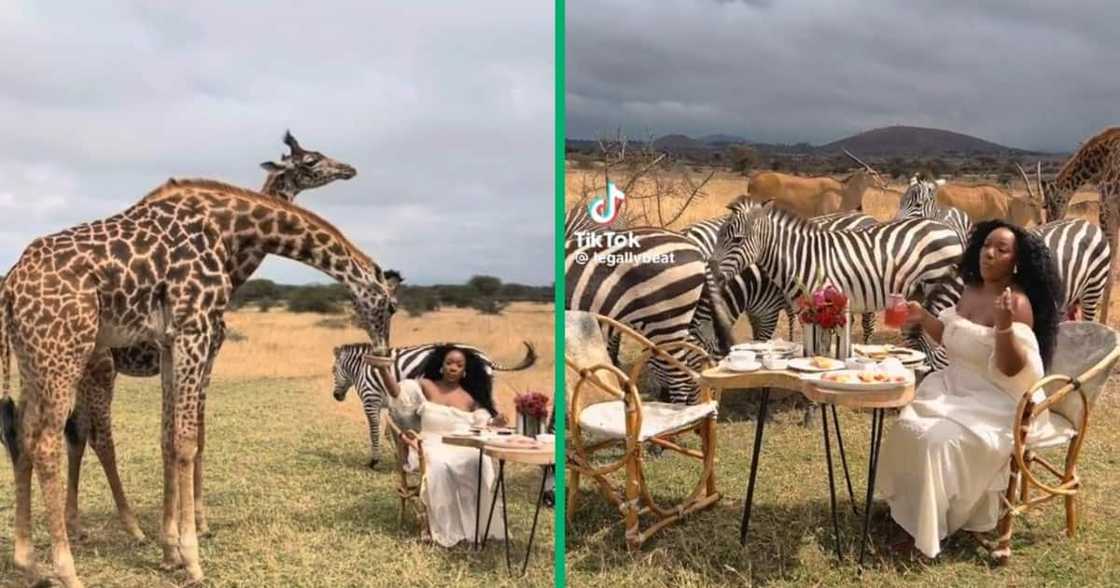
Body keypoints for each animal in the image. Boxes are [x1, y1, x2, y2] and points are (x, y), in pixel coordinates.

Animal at [0, 180, 396, 586]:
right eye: (391, 306)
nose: (383, 353)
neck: (229, 227)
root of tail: (9, 288)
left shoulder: (169, 342)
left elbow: (170, 438)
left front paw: (171, 551)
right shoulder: (195, 331)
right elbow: (189, 441)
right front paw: (191, 557)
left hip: (36, 362)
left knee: (24, 436)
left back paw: (29, 561)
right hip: (70, 356)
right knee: (53, 443)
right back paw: (70, 567)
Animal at [65, 130, 353, 544]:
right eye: (311, 160)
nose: (348, 169)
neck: (233, 272)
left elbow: (177, 436)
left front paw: (182, 522)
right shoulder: (207, 355)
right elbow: (197, 436)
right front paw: (197, 523)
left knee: (74, 431)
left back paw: (75, 524)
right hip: (101, 367)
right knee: (99, 436)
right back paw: (131, 526)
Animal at [327, 340, 537, 465]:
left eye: (333, 370)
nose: (336, 396)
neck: (362, 369)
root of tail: (486, 357)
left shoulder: (371, 399)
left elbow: (375, 431)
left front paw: (374, 460)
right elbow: (392, 431)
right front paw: (399, 454)